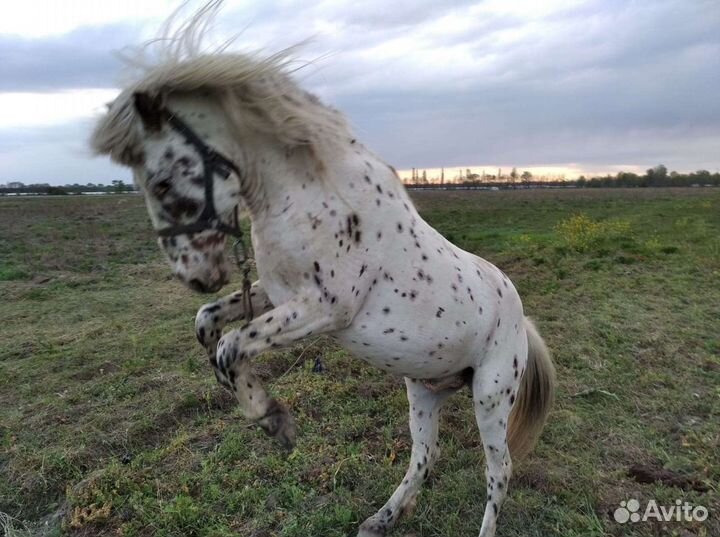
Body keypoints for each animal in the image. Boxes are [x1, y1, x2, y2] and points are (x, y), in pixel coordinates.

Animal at [90, 24, 555, 537]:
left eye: (161, 184)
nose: (195, 275)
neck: (308, 192)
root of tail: (521, 319)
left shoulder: (326, 308)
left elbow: (231, 344)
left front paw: (272, 420)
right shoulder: (276, 294)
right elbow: (209, 323)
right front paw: (240, 392)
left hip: (490, 399)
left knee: (498, 471)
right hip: (424, 390)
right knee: (424, 456)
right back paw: (380, 519)